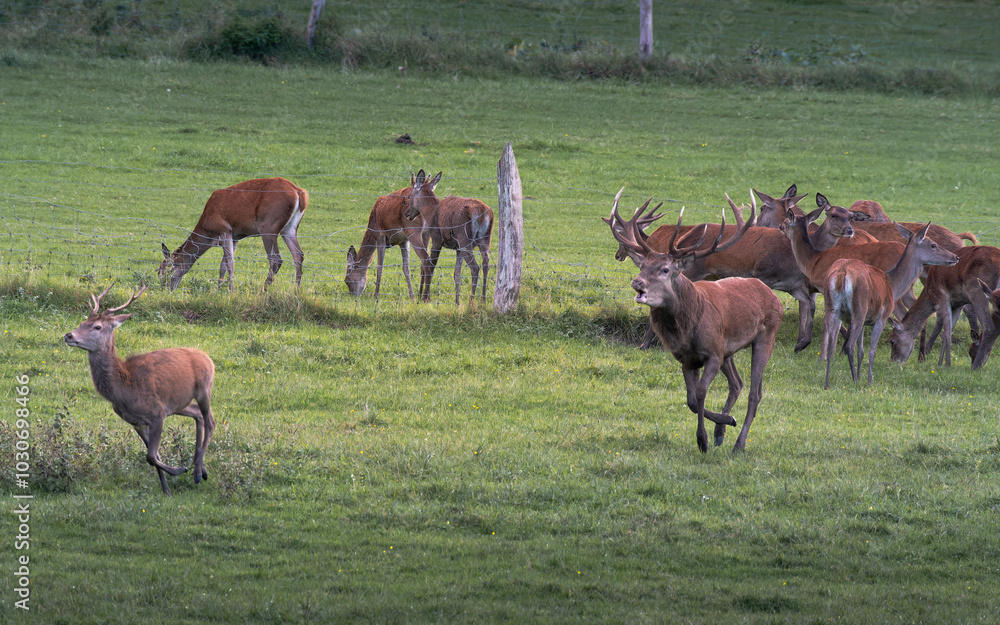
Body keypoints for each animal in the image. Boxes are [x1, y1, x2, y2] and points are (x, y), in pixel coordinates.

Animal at [63, 284, 215, 495]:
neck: (123, 391)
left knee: (210, 421)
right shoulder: (136, 422)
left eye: (97, 327)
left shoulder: (157, 414)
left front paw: (179, 469)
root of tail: (208, 357)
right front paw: (166, 489)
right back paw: (200, 468)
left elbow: (151, 456)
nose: (69, 335)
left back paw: (198, 472)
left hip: (204, 389)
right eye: (81, 322)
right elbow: (153, 456)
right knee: (197, 414)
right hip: (179, 403)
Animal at [159, 177, 307, 291]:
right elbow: (223, 264)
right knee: (298, 255)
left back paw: (263, 291)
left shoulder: (225, 230)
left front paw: (231, 291)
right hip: (289, 228)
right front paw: (218, 290)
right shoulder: (235, 237)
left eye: (164, 271)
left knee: (276, 259)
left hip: (268, 226)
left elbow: (230, 263)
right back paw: (297, 291)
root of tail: (300, 193)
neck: (207, 232)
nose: (164, 289)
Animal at [405, 170, 494, 304]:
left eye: (409, 196)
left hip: (465, 239)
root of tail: (483, 213)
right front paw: (457, 301)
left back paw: (471, 301)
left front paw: (426, 298)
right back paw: (482, 300)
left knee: (475, 267)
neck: (429, 211)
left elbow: (431, 267)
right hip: (485, 239)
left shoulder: (436, 238)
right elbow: (457, 273)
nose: (407, 214)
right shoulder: (457, 248)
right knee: (486, 263)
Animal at [609, 189, 782, 453]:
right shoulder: (687, 358)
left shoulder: (712, 353)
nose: (637, 283)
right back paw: (721, 431)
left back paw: (738, 444)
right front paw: (720, 425)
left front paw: (703, 440)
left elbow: (700, 393)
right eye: (643, 265)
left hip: (765, 337)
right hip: (727, 350)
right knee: (737, 383)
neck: (686, 330)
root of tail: (771, 294)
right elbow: (691, 400)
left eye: (666, 269)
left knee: (755, 393)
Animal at [817, 223, 958, 388]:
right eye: (933, 245)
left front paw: (860, 375)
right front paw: (869, 381)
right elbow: (871, 351)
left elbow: (861, 351)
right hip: (858, 309)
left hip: (832, 307)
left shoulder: (865, 321)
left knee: (831, 345)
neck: (892, 285)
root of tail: (841, 274)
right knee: (849, 346)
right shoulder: (881, 317)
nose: (955, 257)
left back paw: (827, 382)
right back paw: (856, 382)